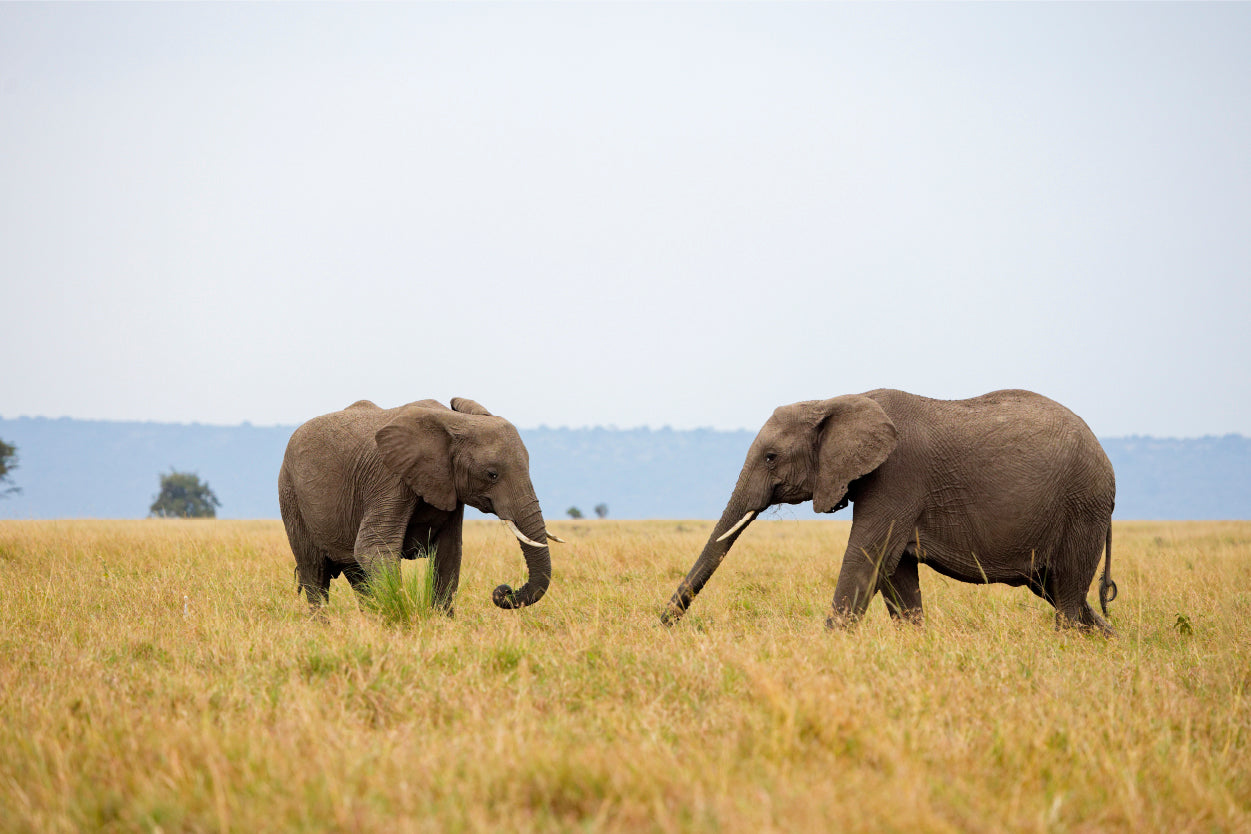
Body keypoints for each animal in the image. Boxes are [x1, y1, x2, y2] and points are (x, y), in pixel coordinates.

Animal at [279, 397, 562, 613]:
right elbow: (374, 547)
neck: (453, 422)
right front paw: (401, 614)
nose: (504, 590)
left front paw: (442, 624)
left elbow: (449, 553)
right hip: (290, 496)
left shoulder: (448, 487)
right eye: (492, 474)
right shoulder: (389, 477)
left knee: (356, 576)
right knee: (314, 573)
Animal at [661, 389, 1118, 634]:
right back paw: (1110, 641)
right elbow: (896, 575)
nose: (660, 625)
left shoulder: (897, 477)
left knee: (1068, 594)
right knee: (1063, 592)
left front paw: (828, 649)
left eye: (771, 458)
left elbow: (865, 559)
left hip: (1082, 507)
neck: (837, 399)